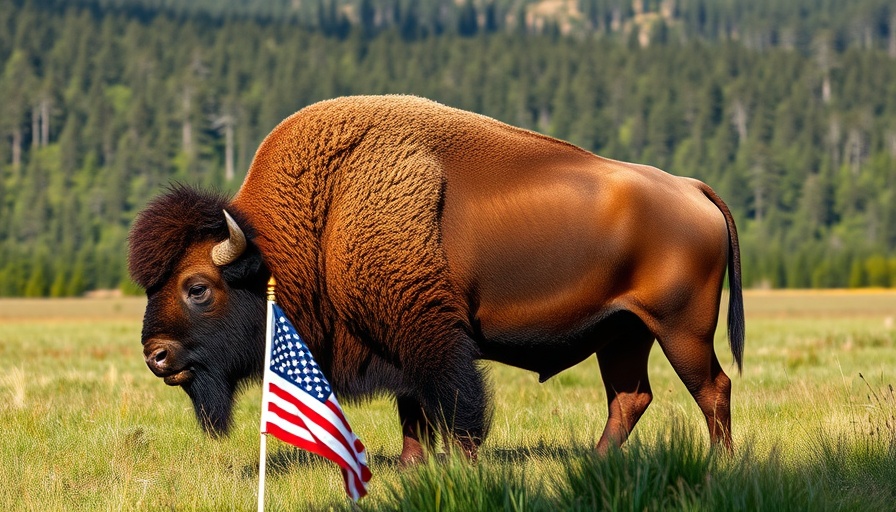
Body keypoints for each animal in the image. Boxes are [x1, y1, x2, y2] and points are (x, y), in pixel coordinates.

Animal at [128, 95, 744, 463]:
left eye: (197, 287)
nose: (156, 356)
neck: (320, 217)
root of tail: (690, 188)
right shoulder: (393, 340)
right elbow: (412, 408)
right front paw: (410, 464)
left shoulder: (427, 332)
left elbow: (454, 402)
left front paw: (462, 463)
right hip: (623, 334)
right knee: (630, 398)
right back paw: (595, 460)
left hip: (681, 330)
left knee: (712, 388)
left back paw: (720, 462)